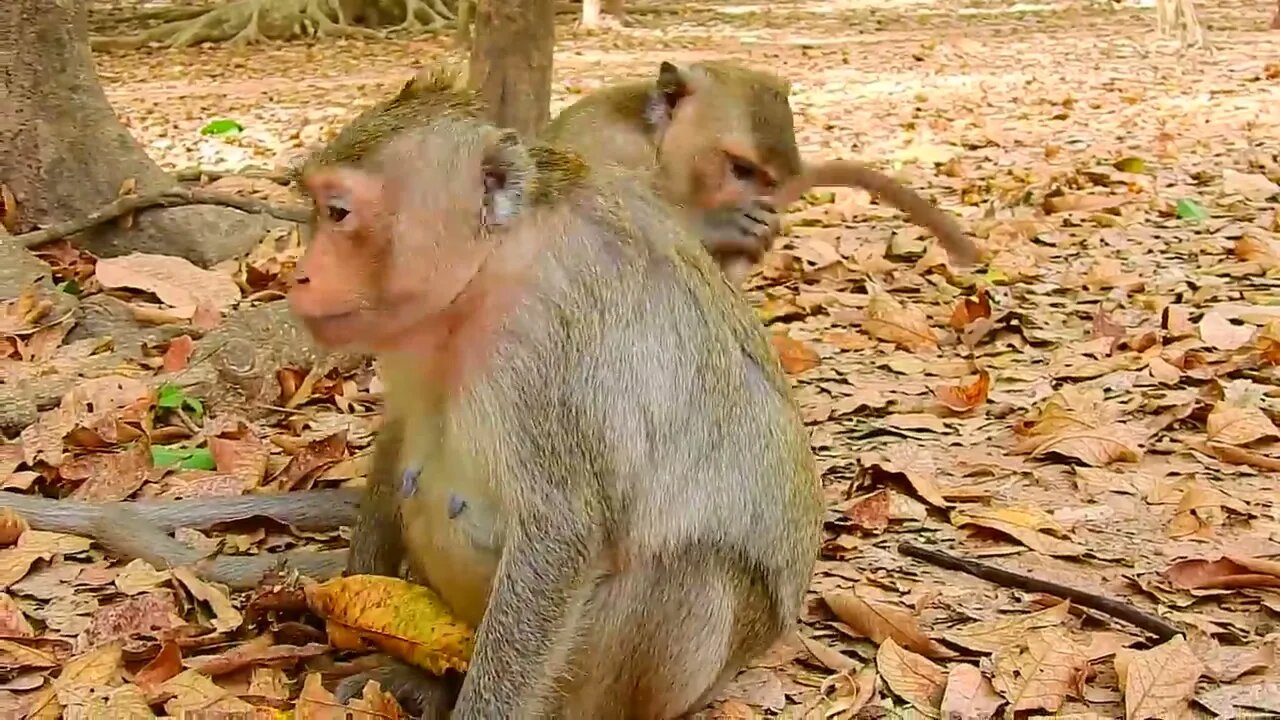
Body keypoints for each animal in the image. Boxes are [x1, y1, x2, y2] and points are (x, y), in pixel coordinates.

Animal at [286, 68, 824, 717]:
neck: (491, 266)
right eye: (318, 210)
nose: (299, 275)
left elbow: (560, 532)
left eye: (338, 212)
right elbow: (398, 440)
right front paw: (356, 587)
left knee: (688, 575)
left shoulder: (546, 334)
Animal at [542, 59, 977, 283]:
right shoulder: (607, 150)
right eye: (740, 169)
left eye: (772, 183)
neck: (652, 147)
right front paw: (717, 225)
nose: (764, 207)